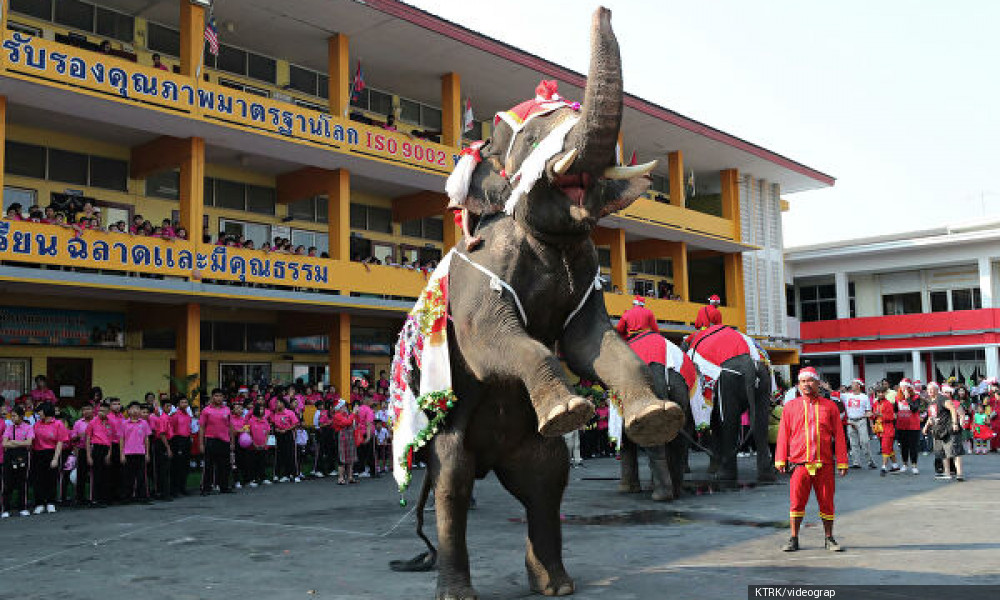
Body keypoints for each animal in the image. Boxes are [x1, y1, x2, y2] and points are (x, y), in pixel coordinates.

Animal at [390, 7, 688, 596]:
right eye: (531, 141)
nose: (603, 9)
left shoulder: (588, 277)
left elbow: (588, 342)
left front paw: (654, 418)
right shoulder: (478, 273)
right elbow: (491, 342)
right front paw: (573, 409)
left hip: (531, 452)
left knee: (547, 482)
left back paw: (555, 583)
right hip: (449, 433)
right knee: (453, 484)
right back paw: (457, 589)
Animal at [684, 324, 776, 482]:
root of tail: (748, 363)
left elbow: (714, 421)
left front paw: (712, 470)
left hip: (728, 380)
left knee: (729, 420)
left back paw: (723, 475)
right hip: (763, 379)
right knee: (760, 422)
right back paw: (767, 476)